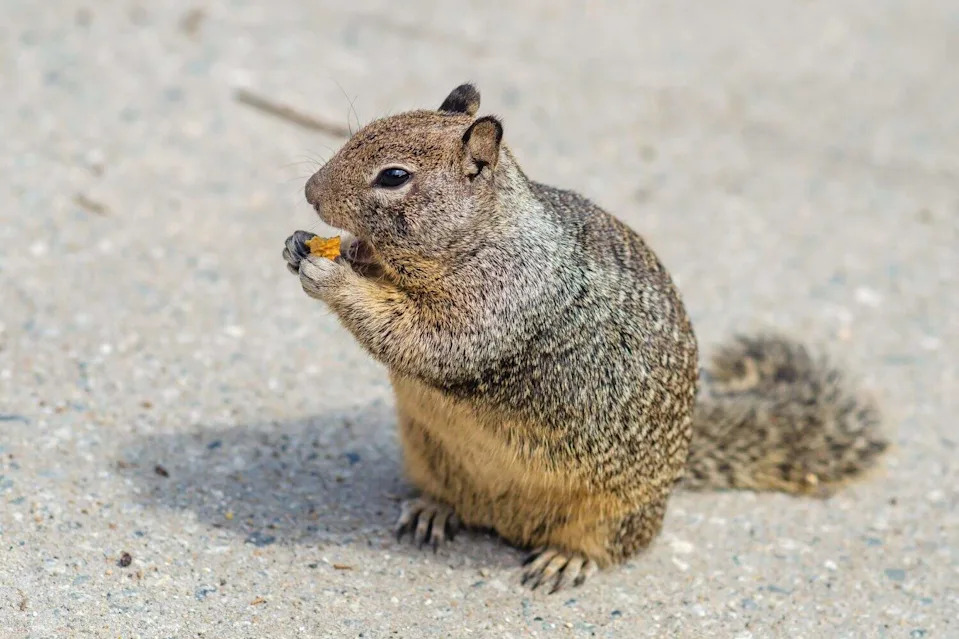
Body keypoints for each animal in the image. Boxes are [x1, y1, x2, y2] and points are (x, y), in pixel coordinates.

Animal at [282, 84, 887, 593]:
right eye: (362, 130)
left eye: (393, 176)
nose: (309, 192)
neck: (484, 234)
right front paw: (303, 245)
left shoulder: (505, 298)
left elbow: (429, 340)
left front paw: (331, 276)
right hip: (427, 455)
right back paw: (433, 510)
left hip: (615, 510)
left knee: (608, 543)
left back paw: (564, 559)